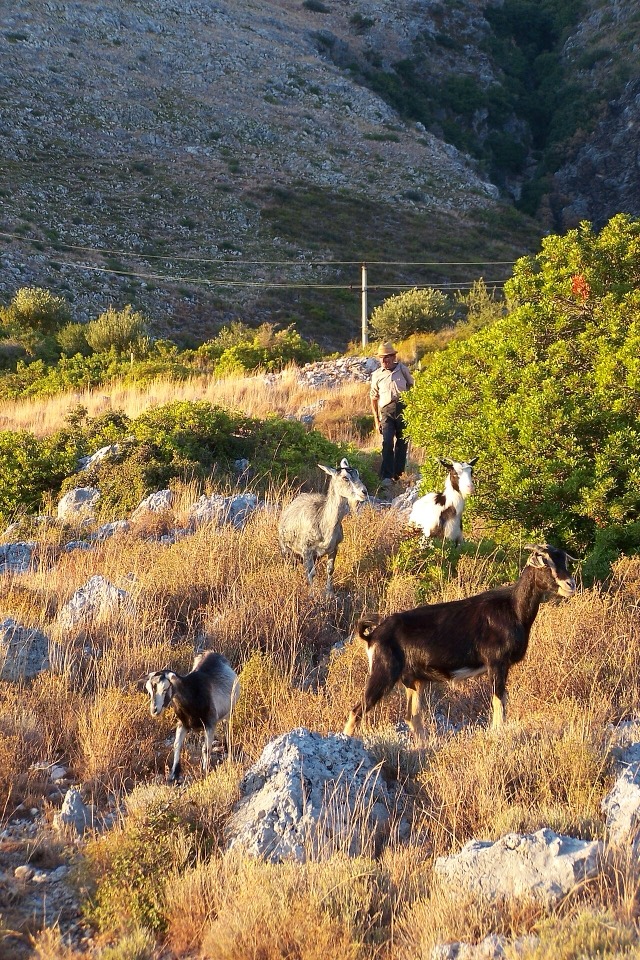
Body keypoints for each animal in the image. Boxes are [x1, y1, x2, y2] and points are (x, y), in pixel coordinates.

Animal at [146, 651, 240, 782]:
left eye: (165, 688)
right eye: (149, 690)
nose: (154, 710)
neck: (192, 693)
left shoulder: (210, 723)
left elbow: (206, 748)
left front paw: (205, 771)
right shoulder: (183, 724)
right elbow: (177, 745)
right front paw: (174, 774)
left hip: (228, 712)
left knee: (227, 727)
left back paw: (228, 750)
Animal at [278, 458, 368, 596]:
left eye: (357, 474)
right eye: (345, 478)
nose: (364, 492)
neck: (324, 526)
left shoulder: (334, 547)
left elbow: (330, 569)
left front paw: (330, 593)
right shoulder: (306, 549)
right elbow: (311, 573)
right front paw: (312, 595)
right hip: (285, 546)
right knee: (289, 563)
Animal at [344, 544, 576, 738]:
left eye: (564, 560)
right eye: (545, 563)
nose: (570, 584)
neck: (513, 608)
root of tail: (373, 635)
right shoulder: (497, 663)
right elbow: (499, 702)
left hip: (413, 680)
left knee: (412, 717)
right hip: (383, 672)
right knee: (357, 710)